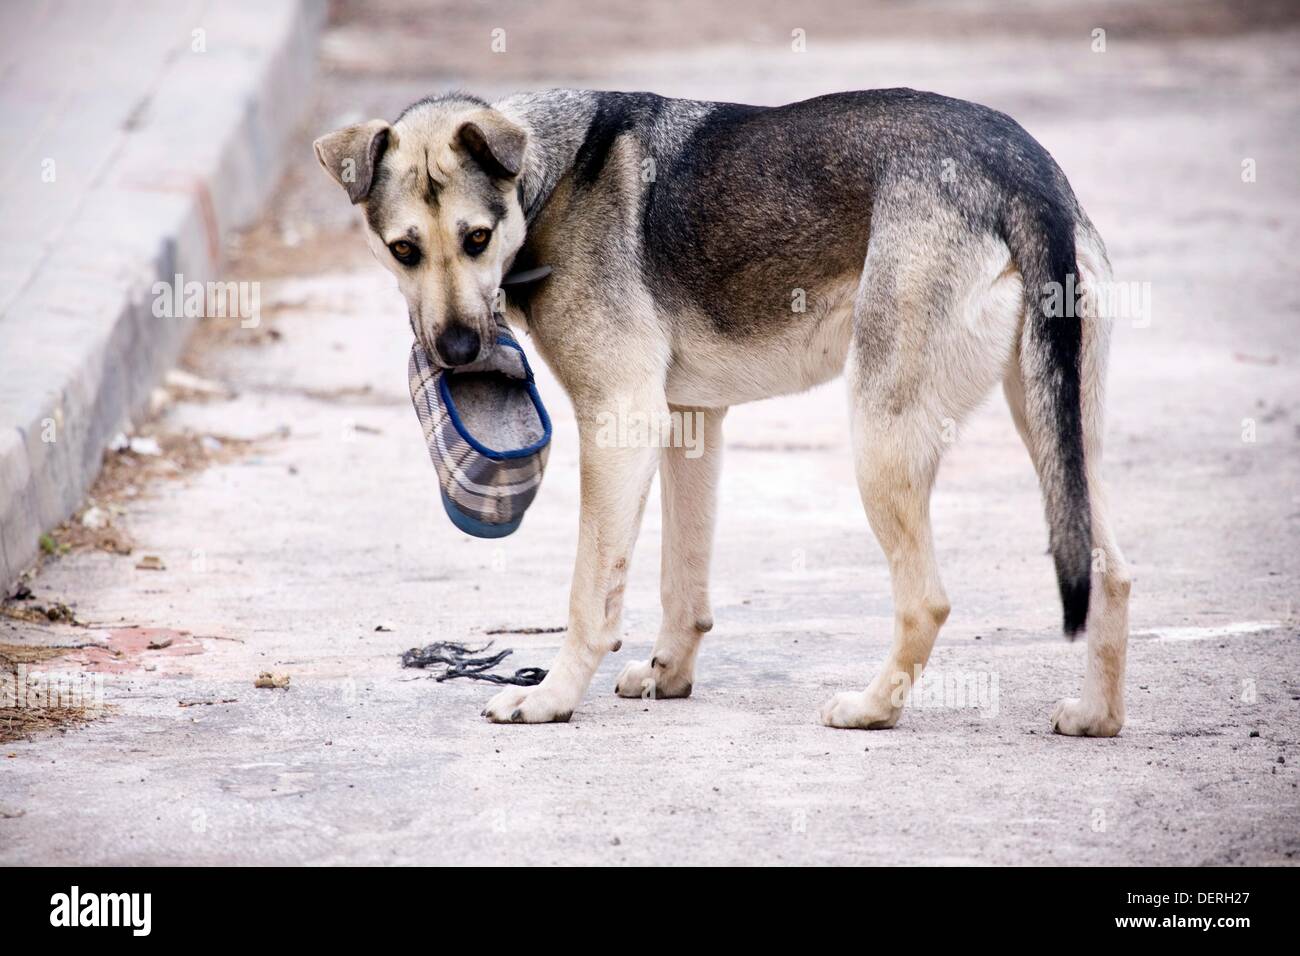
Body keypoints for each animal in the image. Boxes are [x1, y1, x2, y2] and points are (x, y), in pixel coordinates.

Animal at [312, 87, 1128, 733]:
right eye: (404, 251)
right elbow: (682, 579)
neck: (549, 179)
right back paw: (1097, 717)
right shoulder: (689, 422)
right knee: (1110, 572)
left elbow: (591, 595)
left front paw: (551, 698)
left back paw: (871, 710)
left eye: (477, 239)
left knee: (925, 600)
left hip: (881, 435)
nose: (455, 351)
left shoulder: (618, 421)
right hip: (1057, 429)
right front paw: (669, 675)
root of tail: (1023, 170)